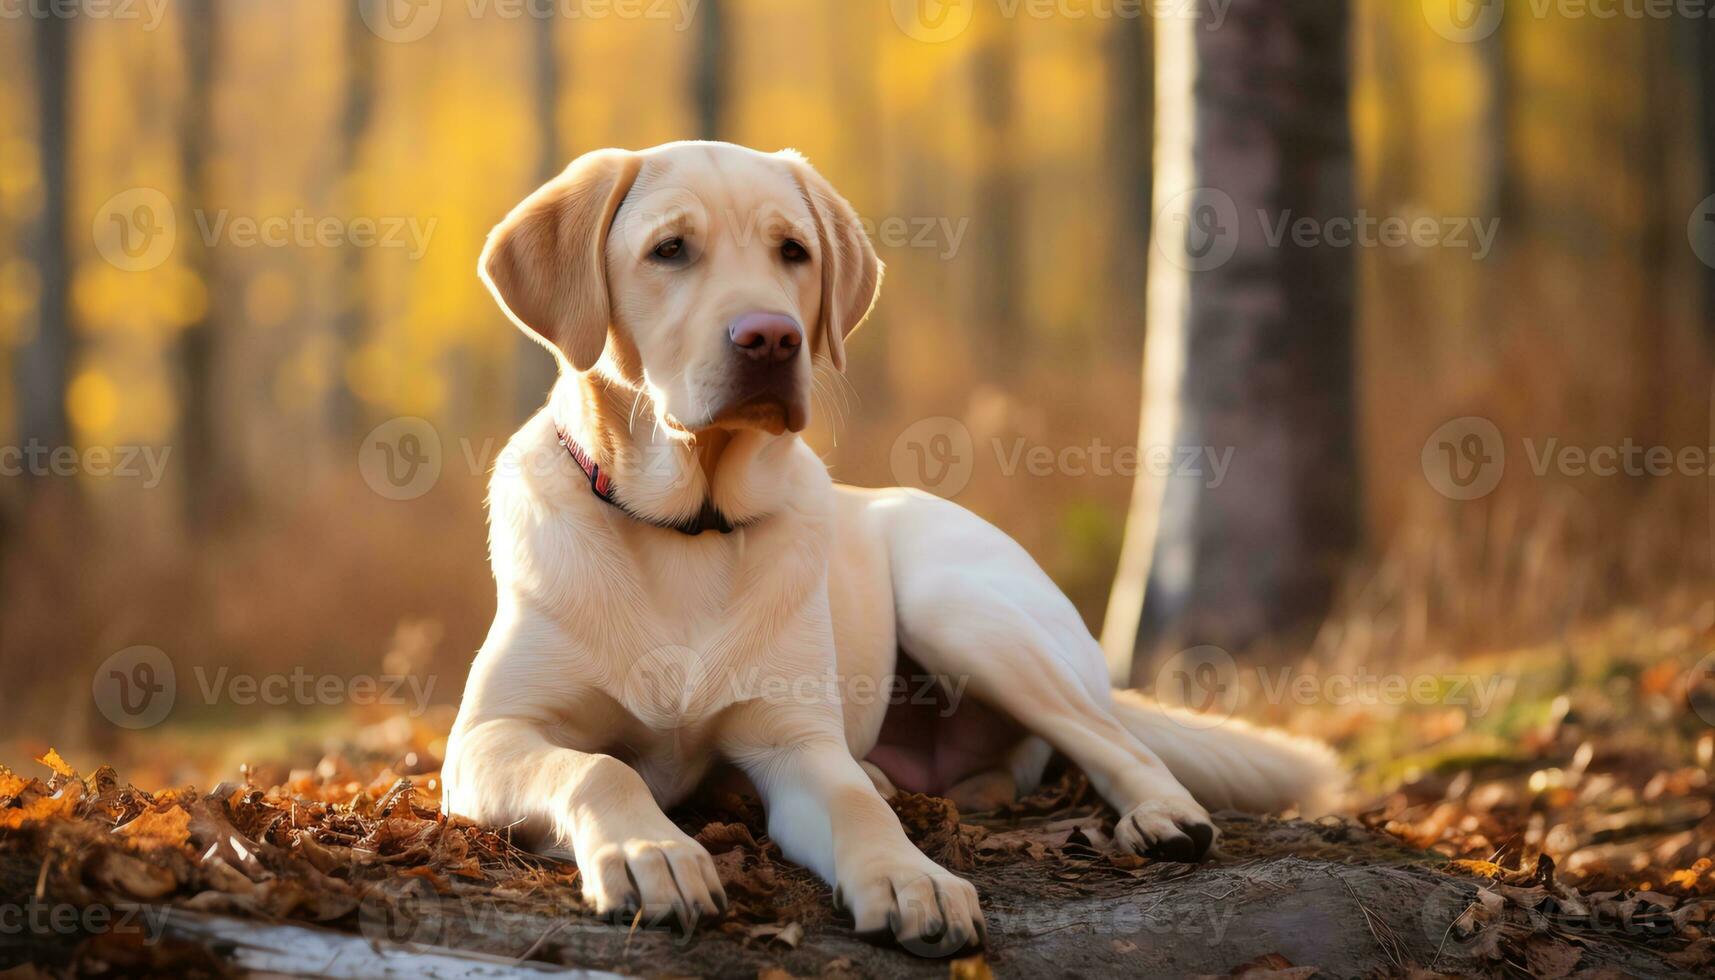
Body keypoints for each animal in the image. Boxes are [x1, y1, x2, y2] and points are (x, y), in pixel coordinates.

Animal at [445, 141, 1337, 954]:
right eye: (669, 249)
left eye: (793, 252)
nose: (769, 338)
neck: (688, 525)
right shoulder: (485, 738)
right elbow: (599, 765)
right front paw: (650, 849)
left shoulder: (795, 741)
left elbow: (852, 805)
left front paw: (912, 878)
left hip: (959, 609)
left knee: (1115, 741)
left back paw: (1164, 814)